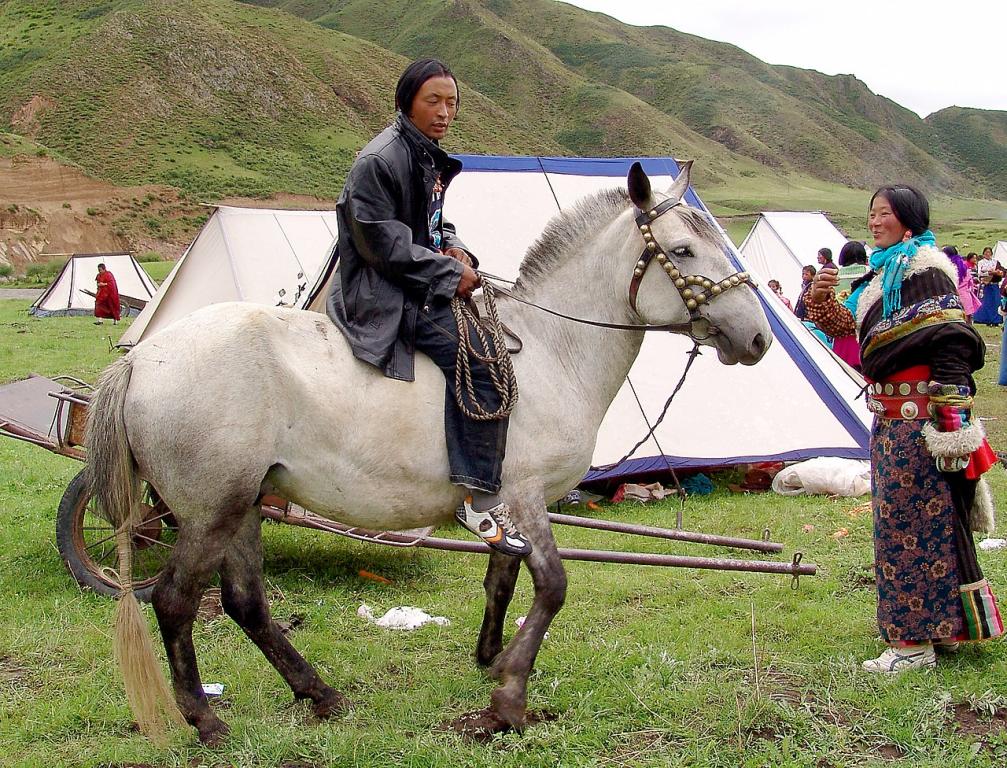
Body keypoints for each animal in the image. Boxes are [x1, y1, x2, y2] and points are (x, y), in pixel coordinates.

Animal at [86, 162, 771, 744]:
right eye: (682, 251)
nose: (758, 339)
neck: (551, 351)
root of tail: (141, 362)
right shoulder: (525, 496)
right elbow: (552, 586)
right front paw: (508, 701)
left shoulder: (504, 503)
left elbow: (503, 578)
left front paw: (492, 661)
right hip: (210, 512)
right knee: (176, 601)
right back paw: (205, 720)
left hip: (247, 504)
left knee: (246, 602)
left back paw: (320, 695)